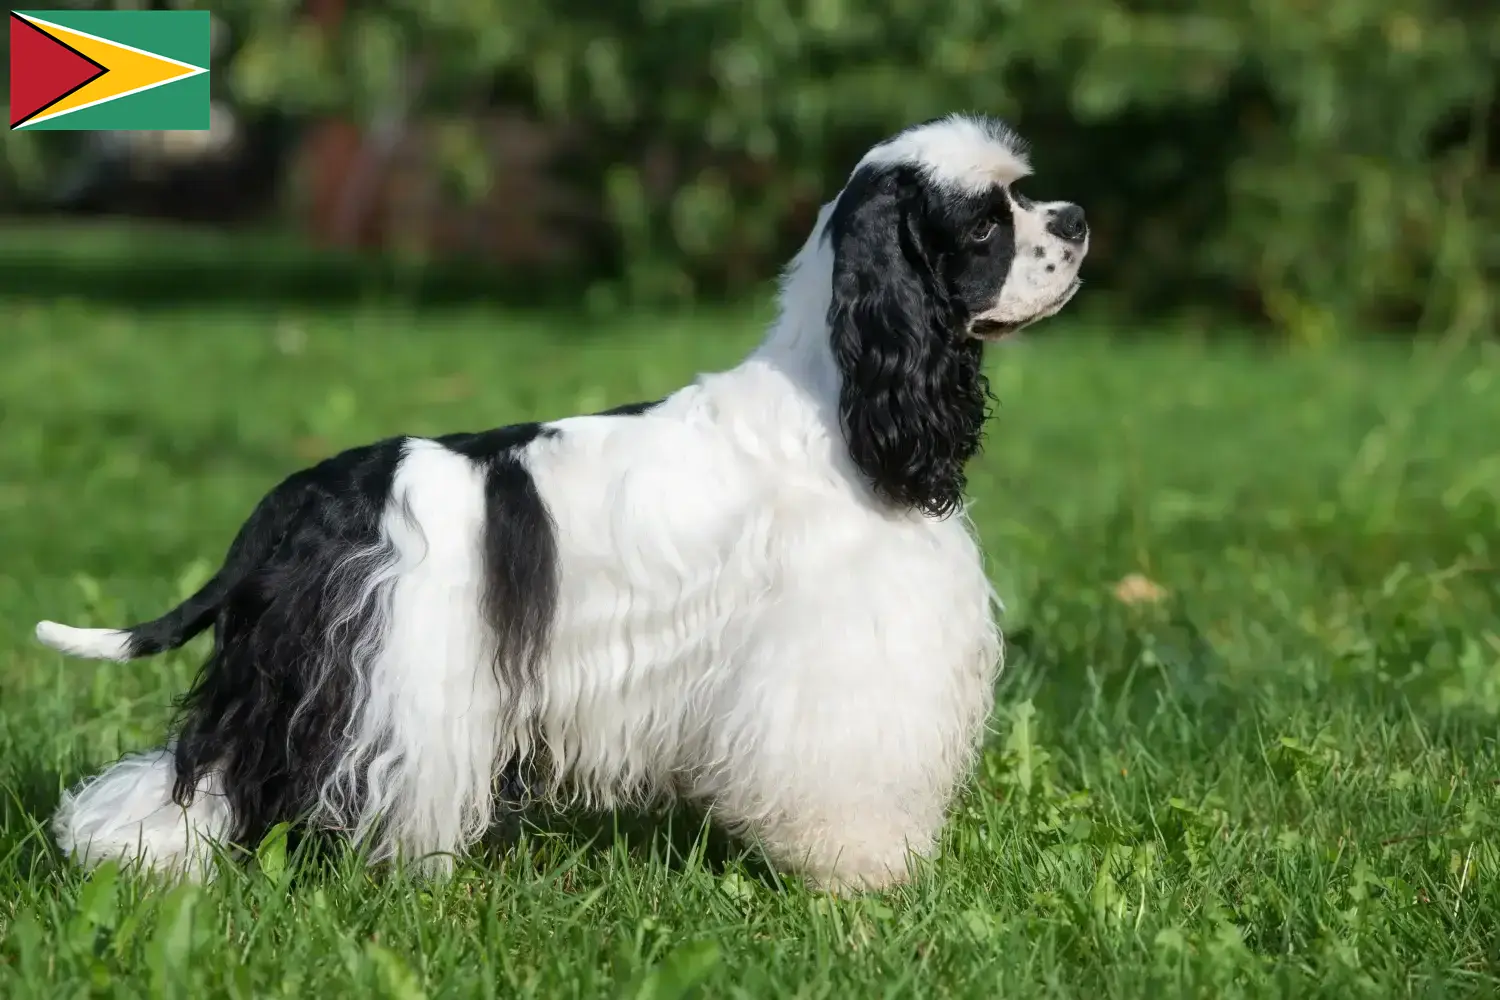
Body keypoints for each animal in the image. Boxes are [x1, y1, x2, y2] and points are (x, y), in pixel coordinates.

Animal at [38, 111, 1092, 893]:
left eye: (1022, 196)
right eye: (987, 223)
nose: (1076, 219)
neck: (835, 405)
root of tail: (289, 505)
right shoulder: (837, 653)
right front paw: (867, 876)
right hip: (363, 683)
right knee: (216, 773)